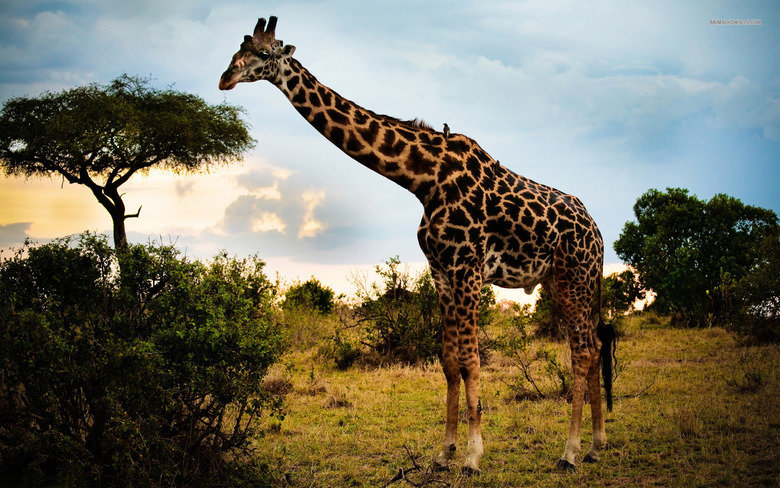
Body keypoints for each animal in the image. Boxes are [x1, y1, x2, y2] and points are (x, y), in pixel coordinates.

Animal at [219, 16, 616, 474]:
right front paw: (444, 452)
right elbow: (448, 361)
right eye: (237, 48)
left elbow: (471, 359)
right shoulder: (442, 272)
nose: (225, 78)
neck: (422, 180)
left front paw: (473, 456)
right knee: (593, 345)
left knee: (583, 350)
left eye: (265, 54)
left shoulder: (467, 270)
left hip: (574, 278)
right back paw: (596, 444)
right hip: (560, 281)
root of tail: (597, 231)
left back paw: (570, 452)